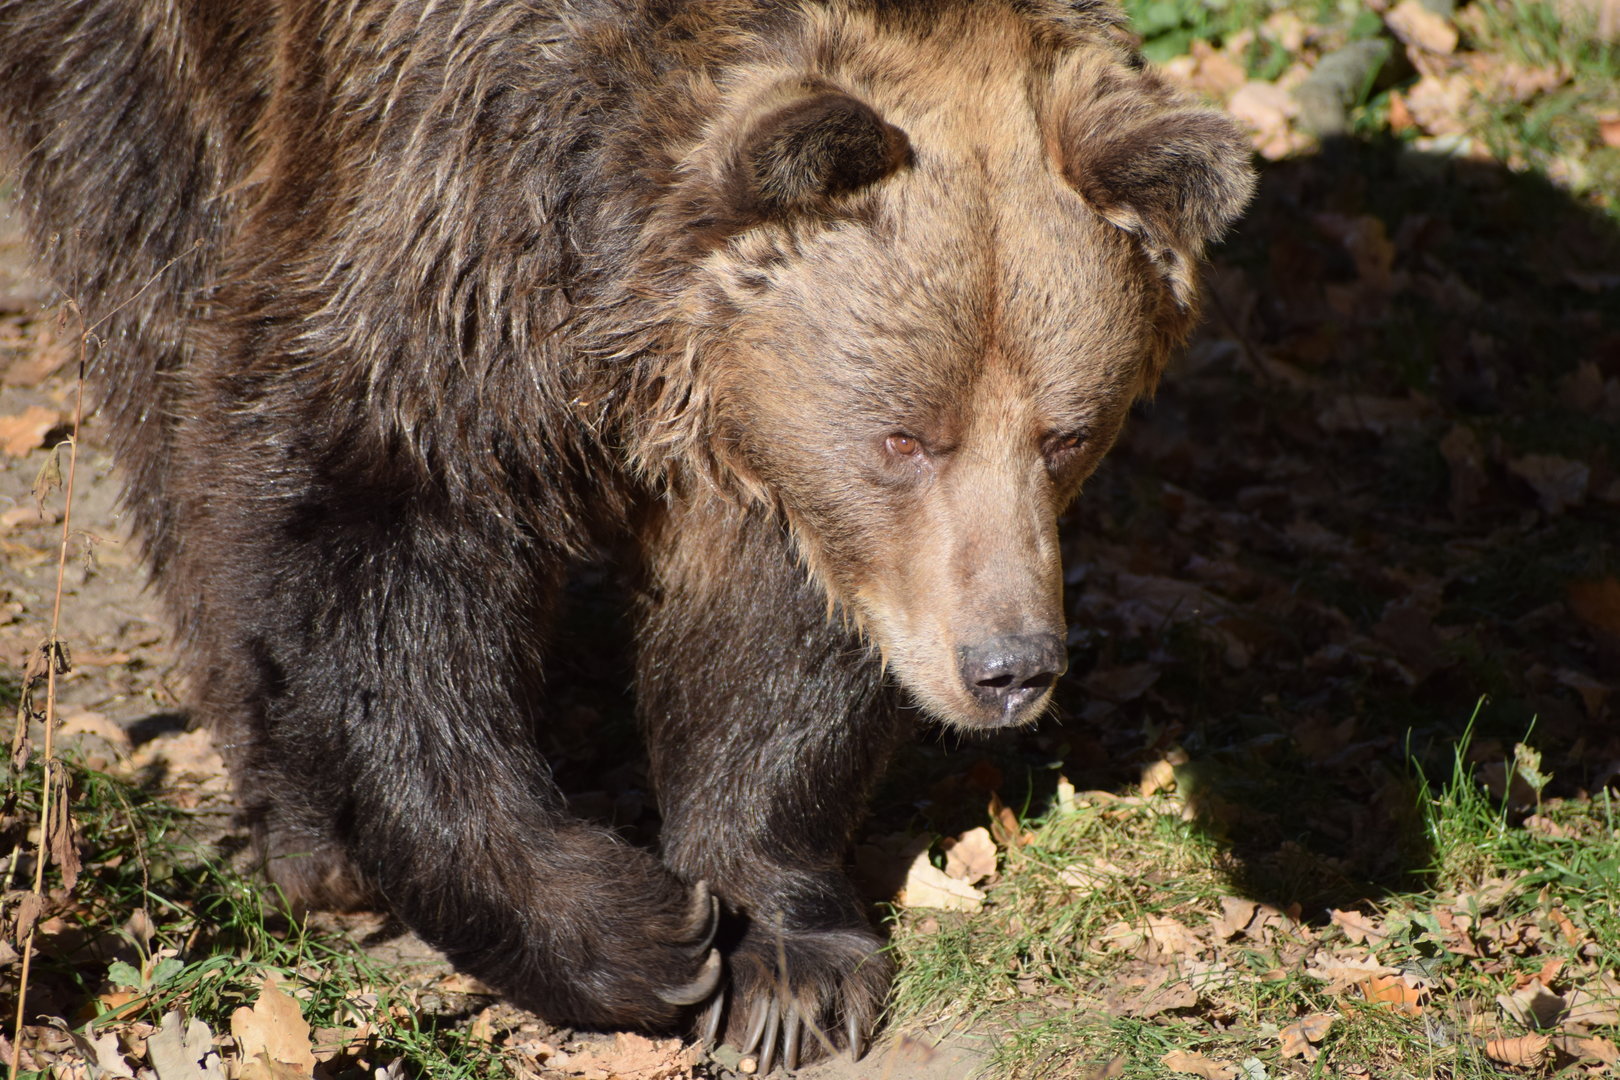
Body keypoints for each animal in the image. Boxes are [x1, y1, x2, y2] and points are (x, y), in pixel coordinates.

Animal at [0, 0, 1252, 1069]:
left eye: (1066, 433)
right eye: (905, 436)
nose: (1007, 666)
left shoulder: (764, 450)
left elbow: (770, 643)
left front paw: (783, 963)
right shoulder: (432, 215)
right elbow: (364, 548)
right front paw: (637, 933)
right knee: (157, 318)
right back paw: (310, 838)